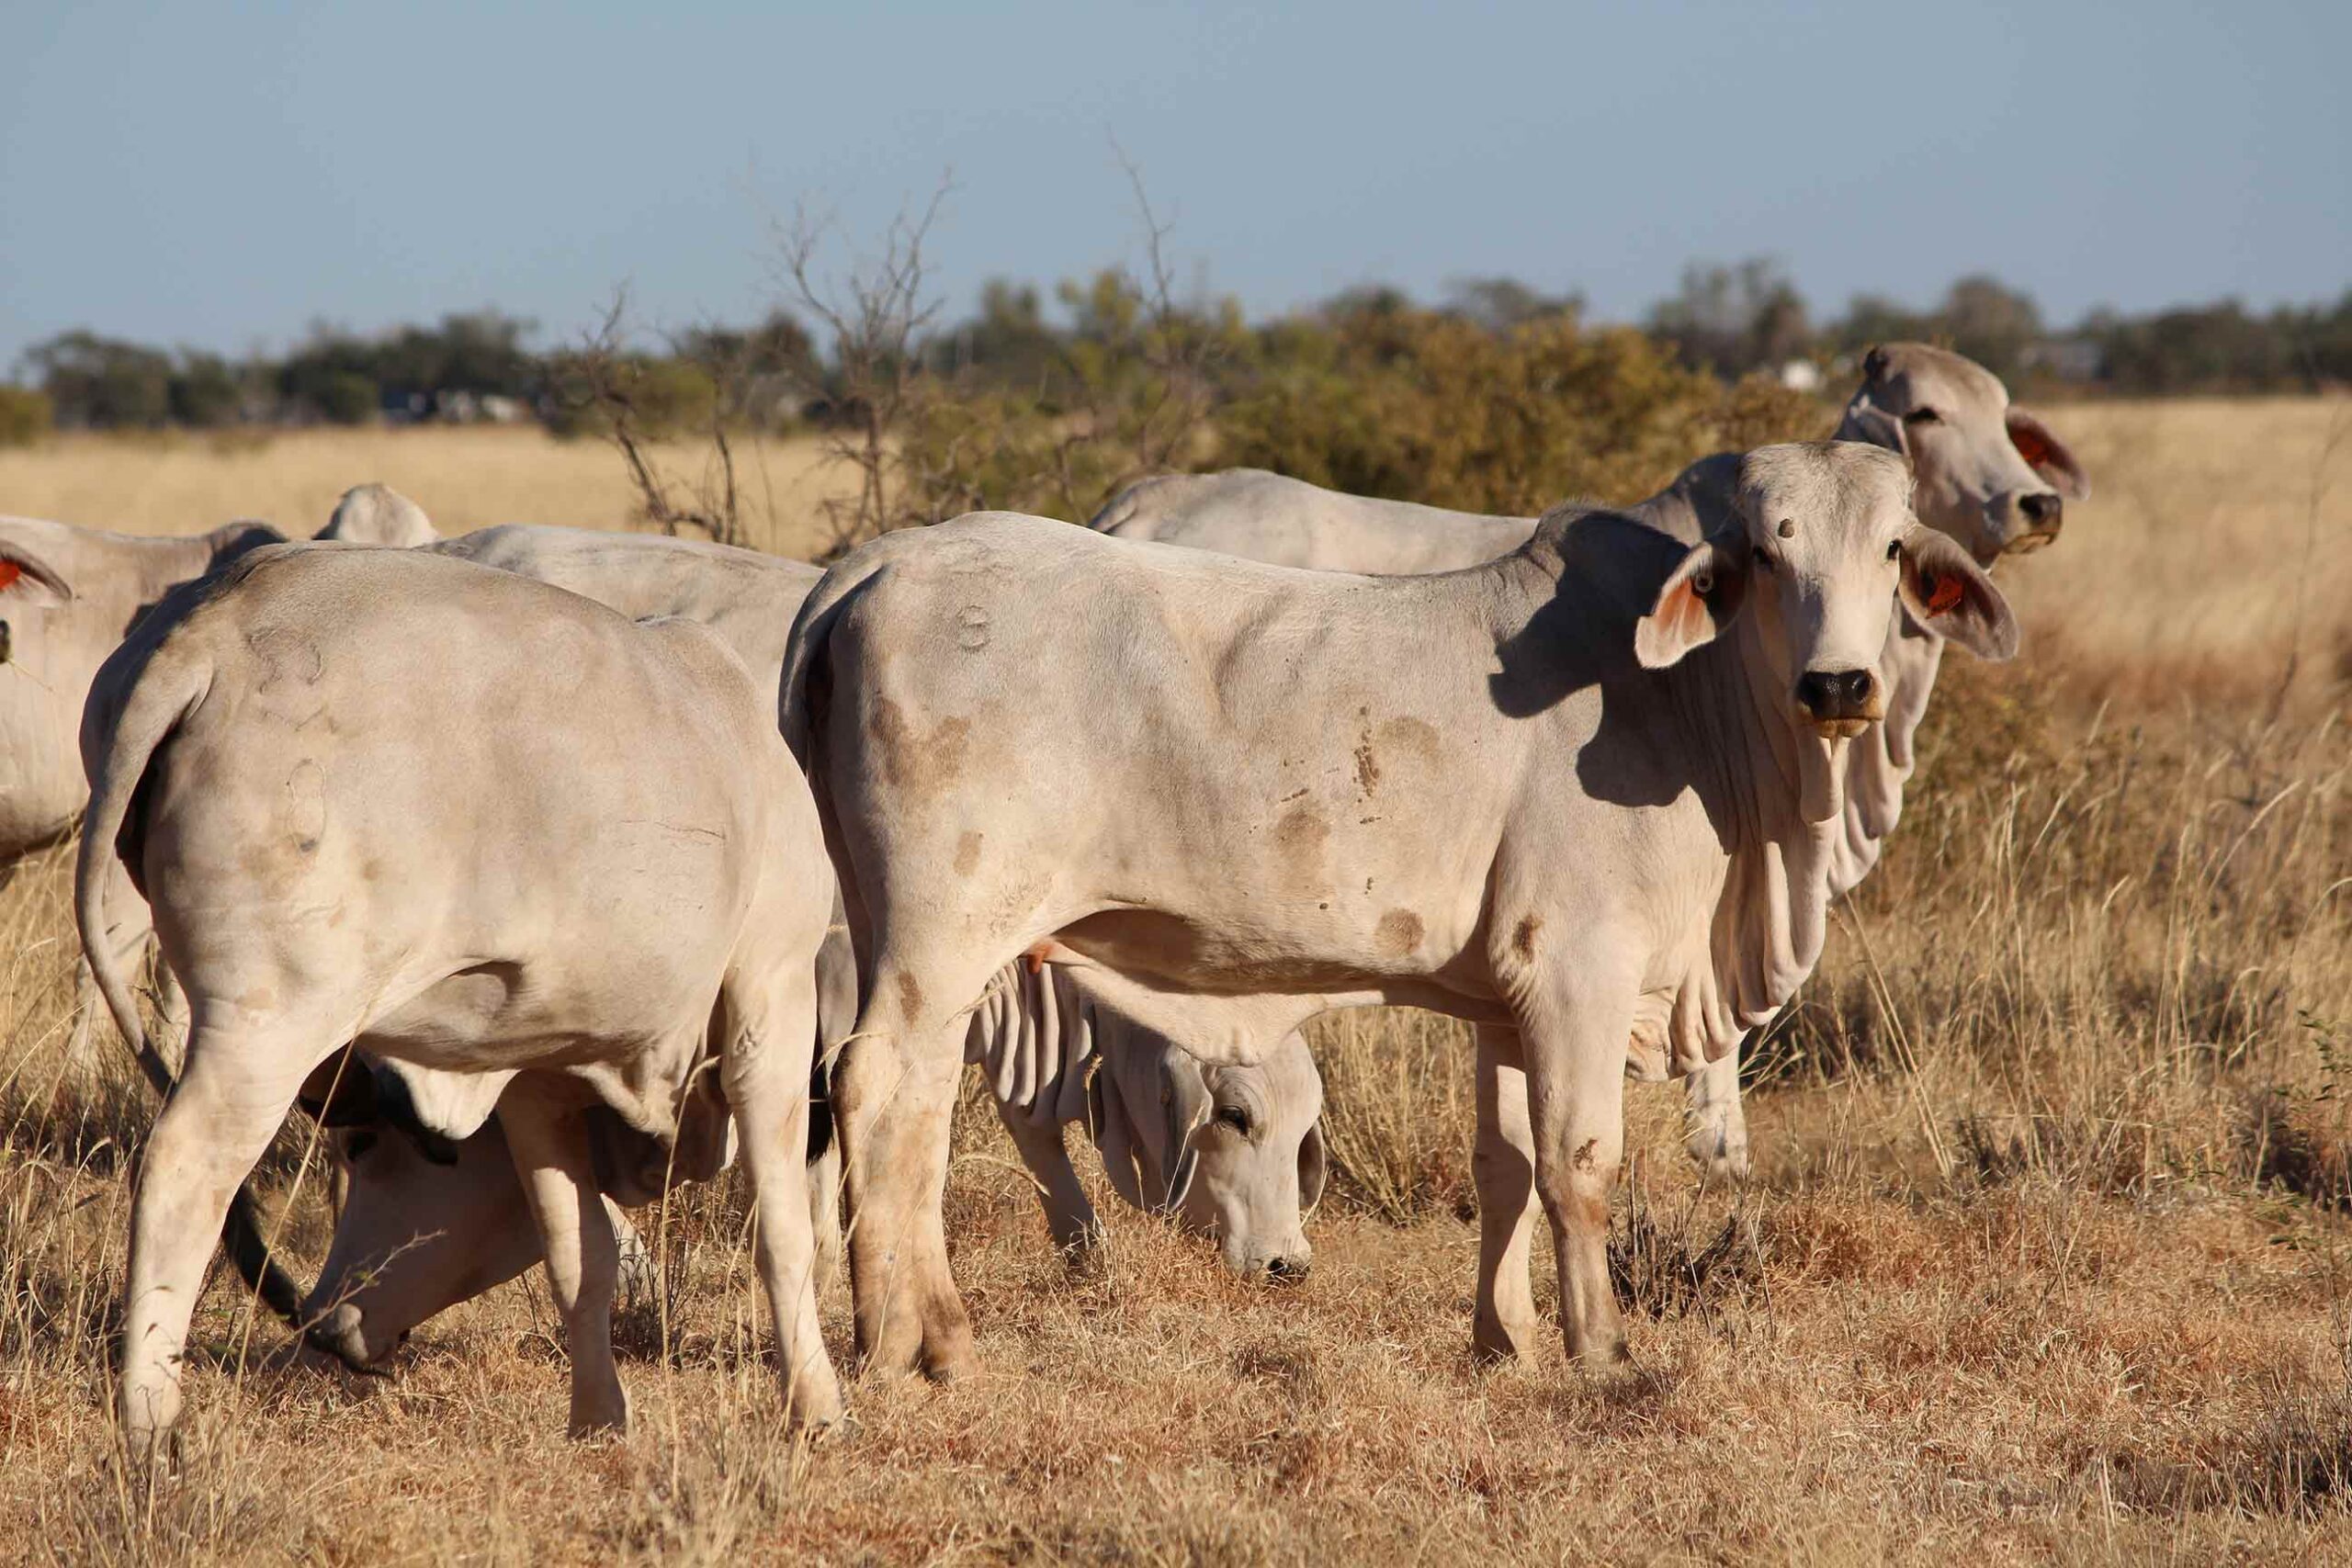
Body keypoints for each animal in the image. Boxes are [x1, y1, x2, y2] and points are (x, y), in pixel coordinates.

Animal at [83, 545, 846, 1457]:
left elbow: (577, 1256)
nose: (331, 1325)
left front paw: (598, 1417)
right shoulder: (773, 992)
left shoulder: (537, 1079)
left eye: (365, 1146)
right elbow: (784, 1231)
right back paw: (150, 1421)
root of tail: (207, 632)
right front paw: (816, 1403)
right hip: (267, 1024)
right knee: (179, 1170)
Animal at [790, 434, 2022, 1382]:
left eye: (1893, 547)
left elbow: (1505, 1166)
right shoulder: (1579, 970)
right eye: (1770, 549)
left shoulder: (1506, 1004)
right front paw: (1600, 1352)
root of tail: (872, 567)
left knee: (903, 1106)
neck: (1687, 703)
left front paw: (1504, 1342)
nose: (1838, 684)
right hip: (947, 935)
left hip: (896, 925)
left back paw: (913, 1331)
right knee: (887, 1092)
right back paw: (914, 1345)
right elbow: (1579, 1163)